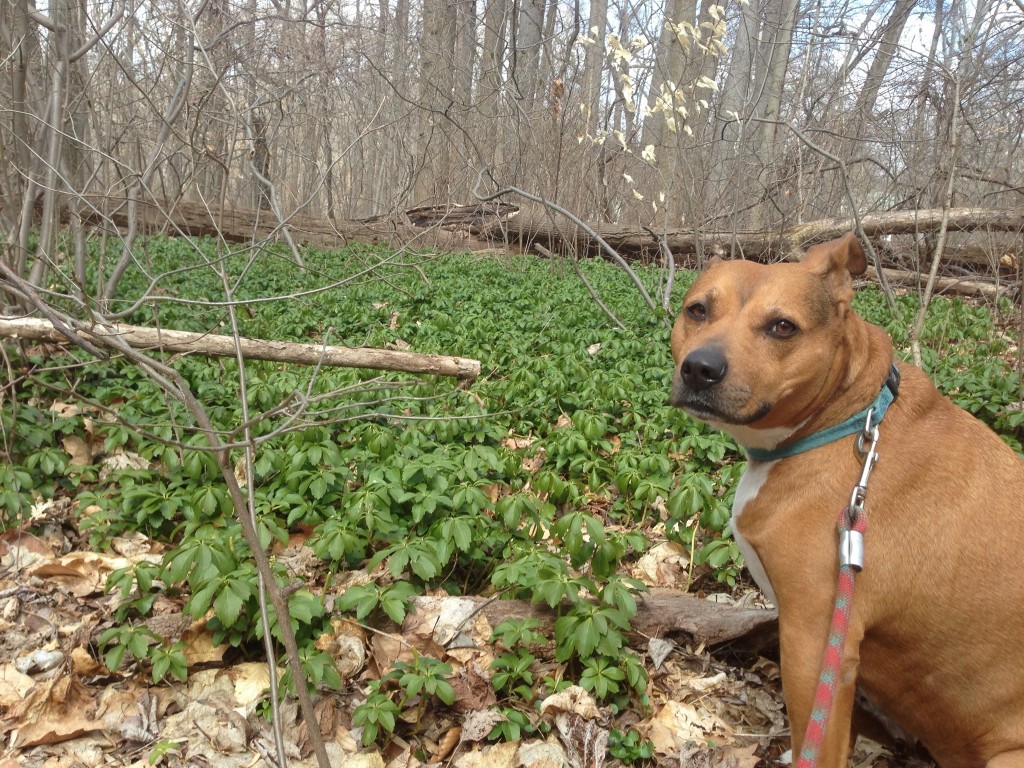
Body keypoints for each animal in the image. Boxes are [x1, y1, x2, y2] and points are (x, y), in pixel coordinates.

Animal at [667, 234, 1024, 768]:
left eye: (782, 327)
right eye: (698, 310)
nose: (700, 368)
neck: (847, 419)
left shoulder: (815, 644)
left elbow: (817, 743)